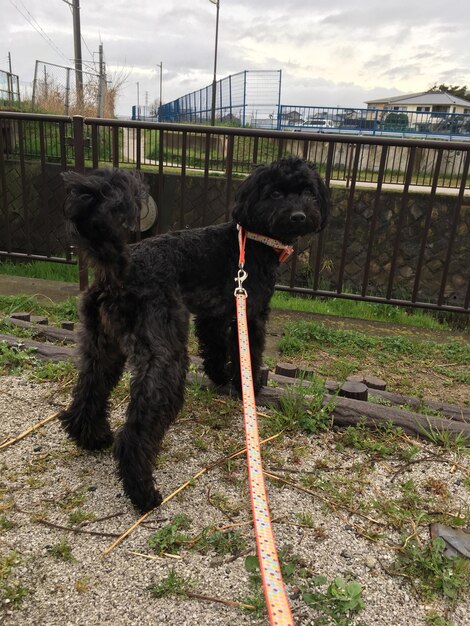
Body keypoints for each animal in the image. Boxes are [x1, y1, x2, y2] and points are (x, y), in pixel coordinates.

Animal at [58, 157, 328, 512]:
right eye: (276, 193)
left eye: (308, 192)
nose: (299, 216)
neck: (253, 240)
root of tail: (120, 268)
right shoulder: (249, 312)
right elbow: (249, 352)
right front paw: (251, 385)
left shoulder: (213, 314)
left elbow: (214, 349)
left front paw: (221, 377)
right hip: (164, 352)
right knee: (137, 427)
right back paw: (143, 493)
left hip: (102, 344)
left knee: (89, 389)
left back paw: (92, 438)